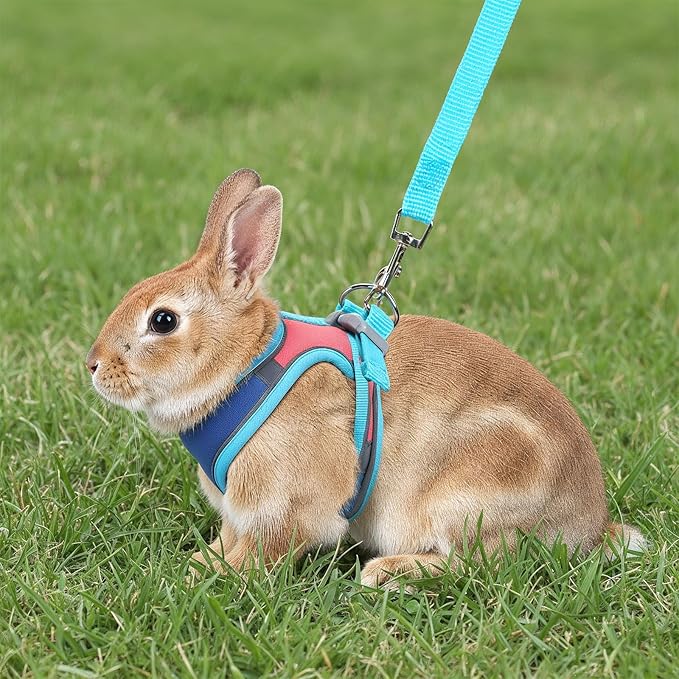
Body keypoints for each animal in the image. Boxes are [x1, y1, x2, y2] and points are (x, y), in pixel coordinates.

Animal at [86, 168, 646, 588]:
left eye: (163, 321)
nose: (93, 365)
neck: (243, 368)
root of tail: (588, 524)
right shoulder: (239, 511)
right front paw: (204, 561)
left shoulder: (286, 502)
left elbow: (268, 546)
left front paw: (217, 574)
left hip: (473, 494)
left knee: (481, 563)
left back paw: (388, 572)